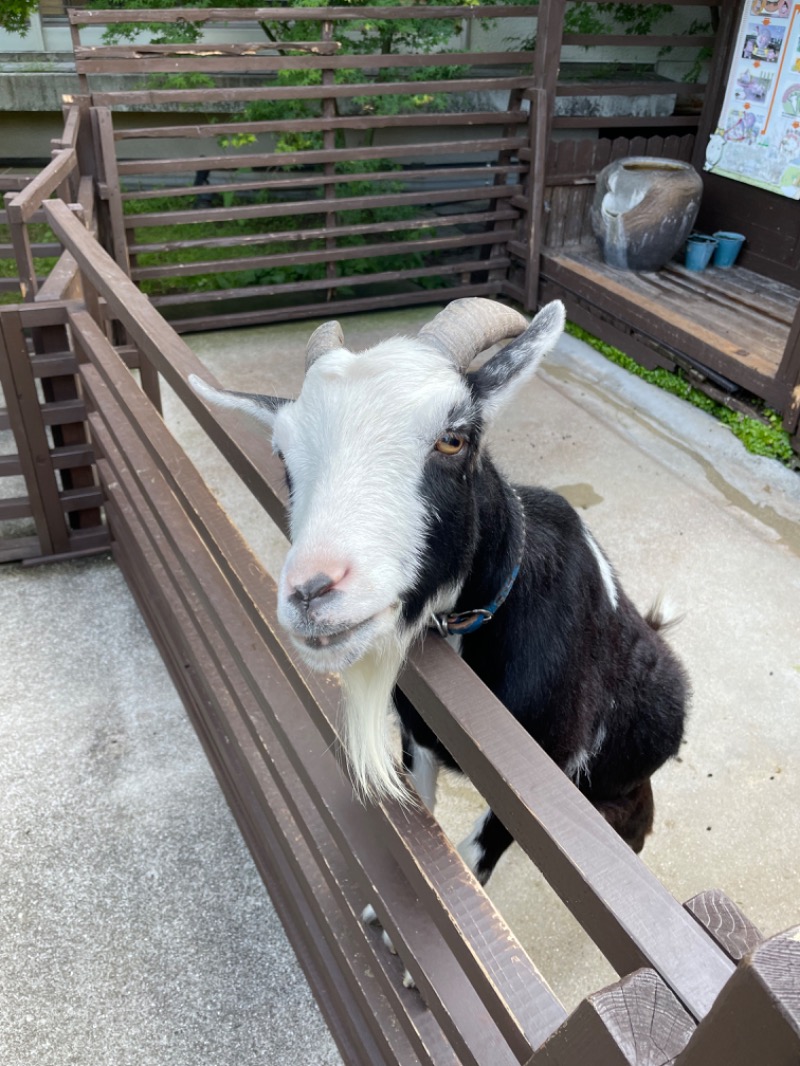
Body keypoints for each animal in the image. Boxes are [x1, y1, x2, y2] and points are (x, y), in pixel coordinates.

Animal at [193, 302, 691, 899]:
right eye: (282, 455)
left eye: (454, 439)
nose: (311, 593)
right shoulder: (417, 735)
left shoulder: (543, 781)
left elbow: (473, 859)